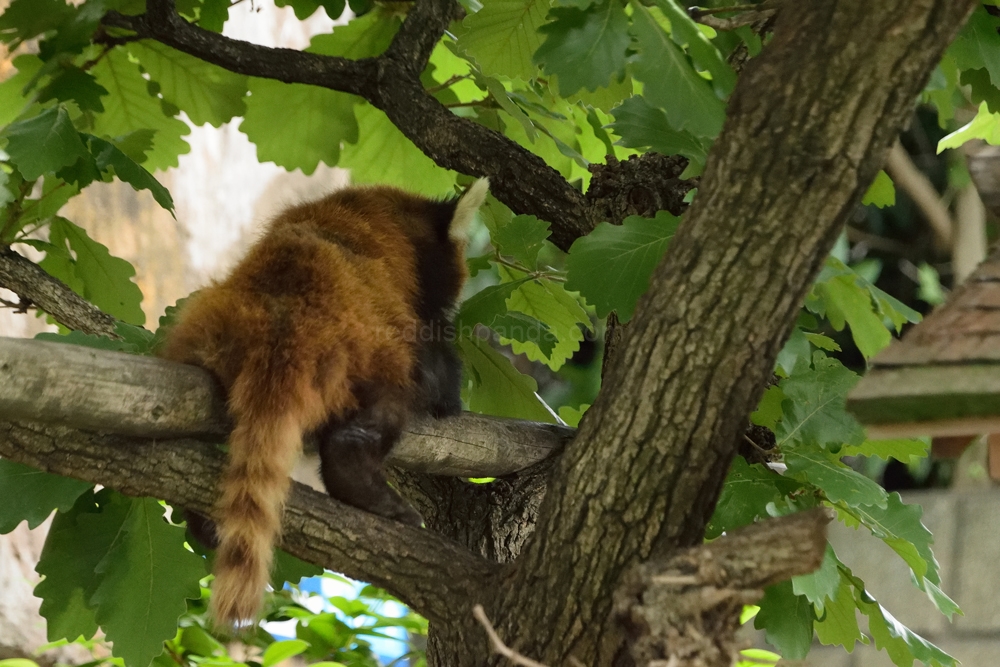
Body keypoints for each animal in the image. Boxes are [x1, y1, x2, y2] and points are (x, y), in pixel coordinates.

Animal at [158, 177, 490, 628]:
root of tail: (283, 328)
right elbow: (435, 363)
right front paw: (448, 396)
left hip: (207, 326)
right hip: (361, 346)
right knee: (381, 408)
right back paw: (367, 487)